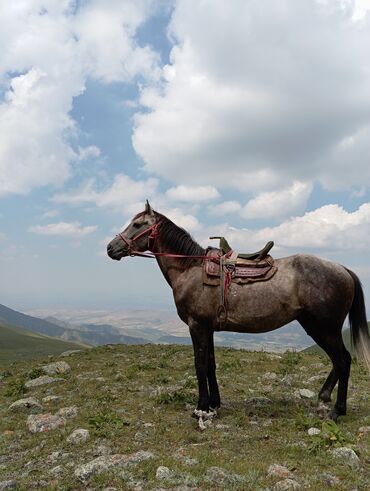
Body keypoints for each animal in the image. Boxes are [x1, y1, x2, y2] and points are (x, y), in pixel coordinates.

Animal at [107, 202, 370, 420]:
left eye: (137, 225)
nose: (111, 247)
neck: (189, 268)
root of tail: (344, 269)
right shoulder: (208, 328)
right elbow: (210, 364)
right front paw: (214, 404)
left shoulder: (197, 325)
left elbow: (199, 365)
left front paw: (201, 407)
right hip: (316, 326)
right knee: (338, 361)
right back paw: (324, 397)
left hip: (324, 327)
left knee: (343, 360)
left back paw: (337, 410)